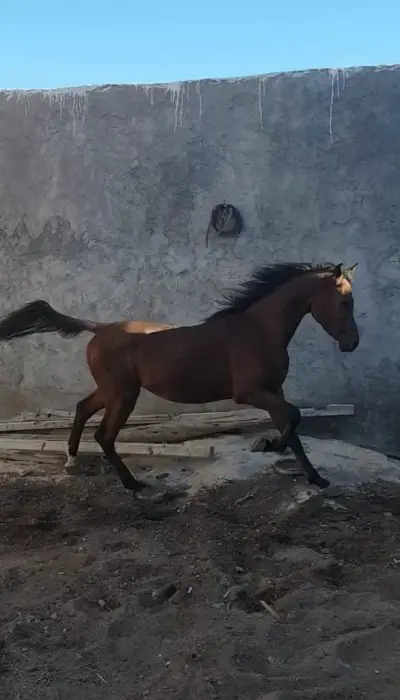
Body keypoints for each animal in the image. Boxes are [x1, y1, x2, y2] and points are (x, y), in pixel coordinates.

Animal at [0, 262, 359, 498]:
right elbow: (294, 418)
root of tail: (99, 328)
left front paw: (316, 478)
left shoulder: (273, 390)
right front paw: (270, 445)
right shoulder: (250, 393)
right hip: (123, 394)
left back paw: (72, 461)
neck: (259, 330)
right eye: (344, 301)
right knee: (104, 435)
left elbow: (292, 427)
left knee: (82, 408)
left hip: (112, 390)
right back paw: (133, 484)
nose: (352, 343)